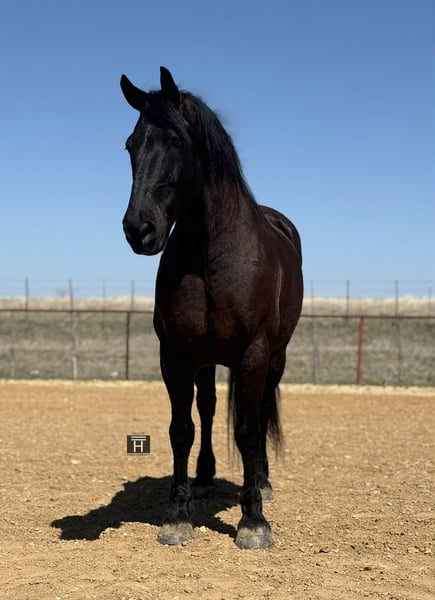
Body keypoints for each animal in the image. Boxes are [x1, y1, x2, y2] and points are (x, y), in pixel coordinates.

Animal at [120, 67, 303, 549]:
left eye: (176, 141)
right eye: (131, 144)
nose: (139, 229)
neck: (209, 256)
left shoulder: (254, 355)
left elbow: (248, 430)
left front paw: (253, 521)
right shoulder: (176, 355)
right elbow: (181, 429)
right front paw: (177, 515)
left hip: (274, 358)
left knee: (261, 414)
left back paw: (263, 482)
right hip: (206, 360)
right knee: (207, 408)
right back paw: (204, 479)